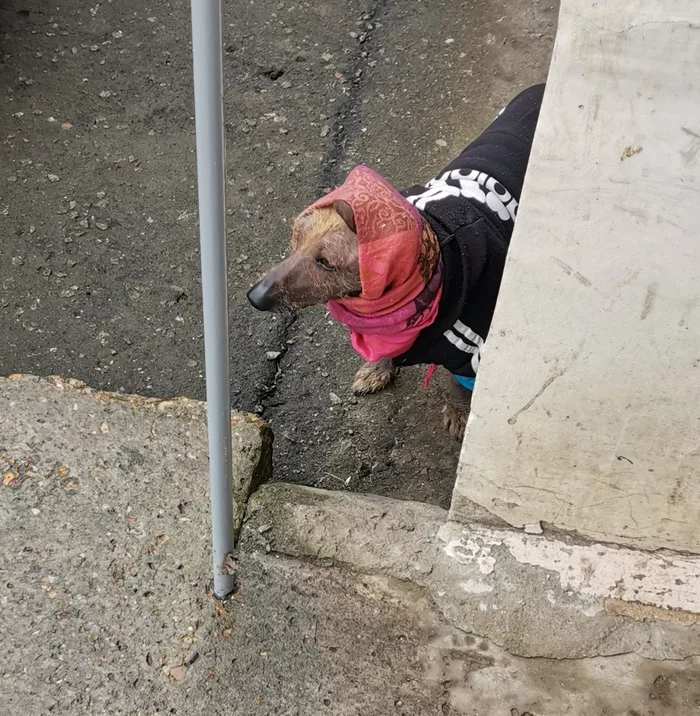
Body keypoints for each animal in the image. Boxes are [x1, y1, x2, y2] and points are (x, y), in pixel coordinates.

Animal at [249, 86, 544, 440]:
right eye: (294, 238)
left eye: (326, 262)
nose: (254, 297)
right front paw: (379, 369)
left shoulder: (472, 349)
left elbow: (462, 389)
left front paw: (460, 415)